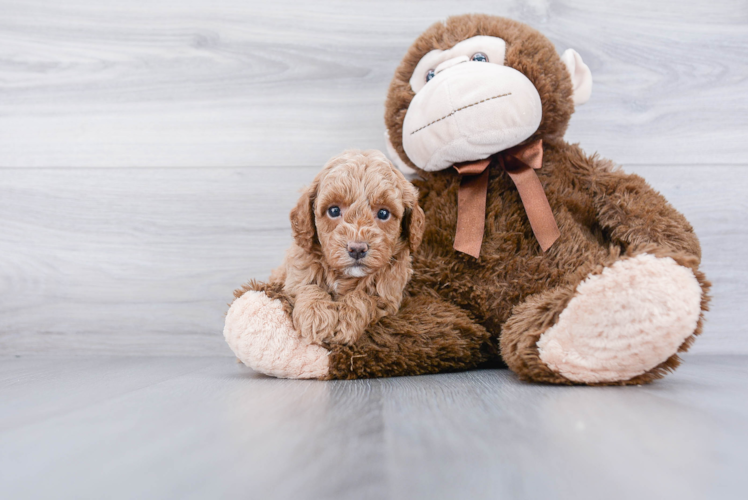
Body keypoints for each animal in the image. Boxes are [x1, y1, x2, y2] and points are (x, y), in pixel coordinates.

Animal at [272, 150, 426, 346]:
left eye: (383, 213)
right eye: (334, 211)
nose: (357, 249)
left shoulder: (388, 297)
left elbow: (364, 297)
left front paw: (346, 320)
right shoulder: (295, 275)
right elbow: (308, 287)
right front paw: (316, 316)